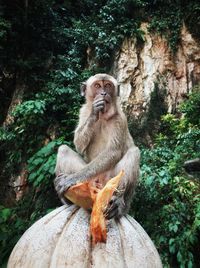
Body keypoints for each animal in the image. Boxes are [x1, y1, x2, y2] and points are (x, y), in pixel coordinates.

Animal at [54, 72, 140, 219]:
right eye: (97, 86)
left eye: (108, 85)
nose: (103, 93)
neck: (103, 117)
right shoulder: (83, 111)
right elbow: (78, 144)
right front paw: (94, 112)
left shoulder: (120, 119)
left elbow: (113, 152)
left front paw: (71, 179)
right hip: (90, 181)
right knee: (63, 149)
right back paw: (66, 199)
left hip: (109, 182)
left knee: (134, 152)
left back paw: (118, 203)